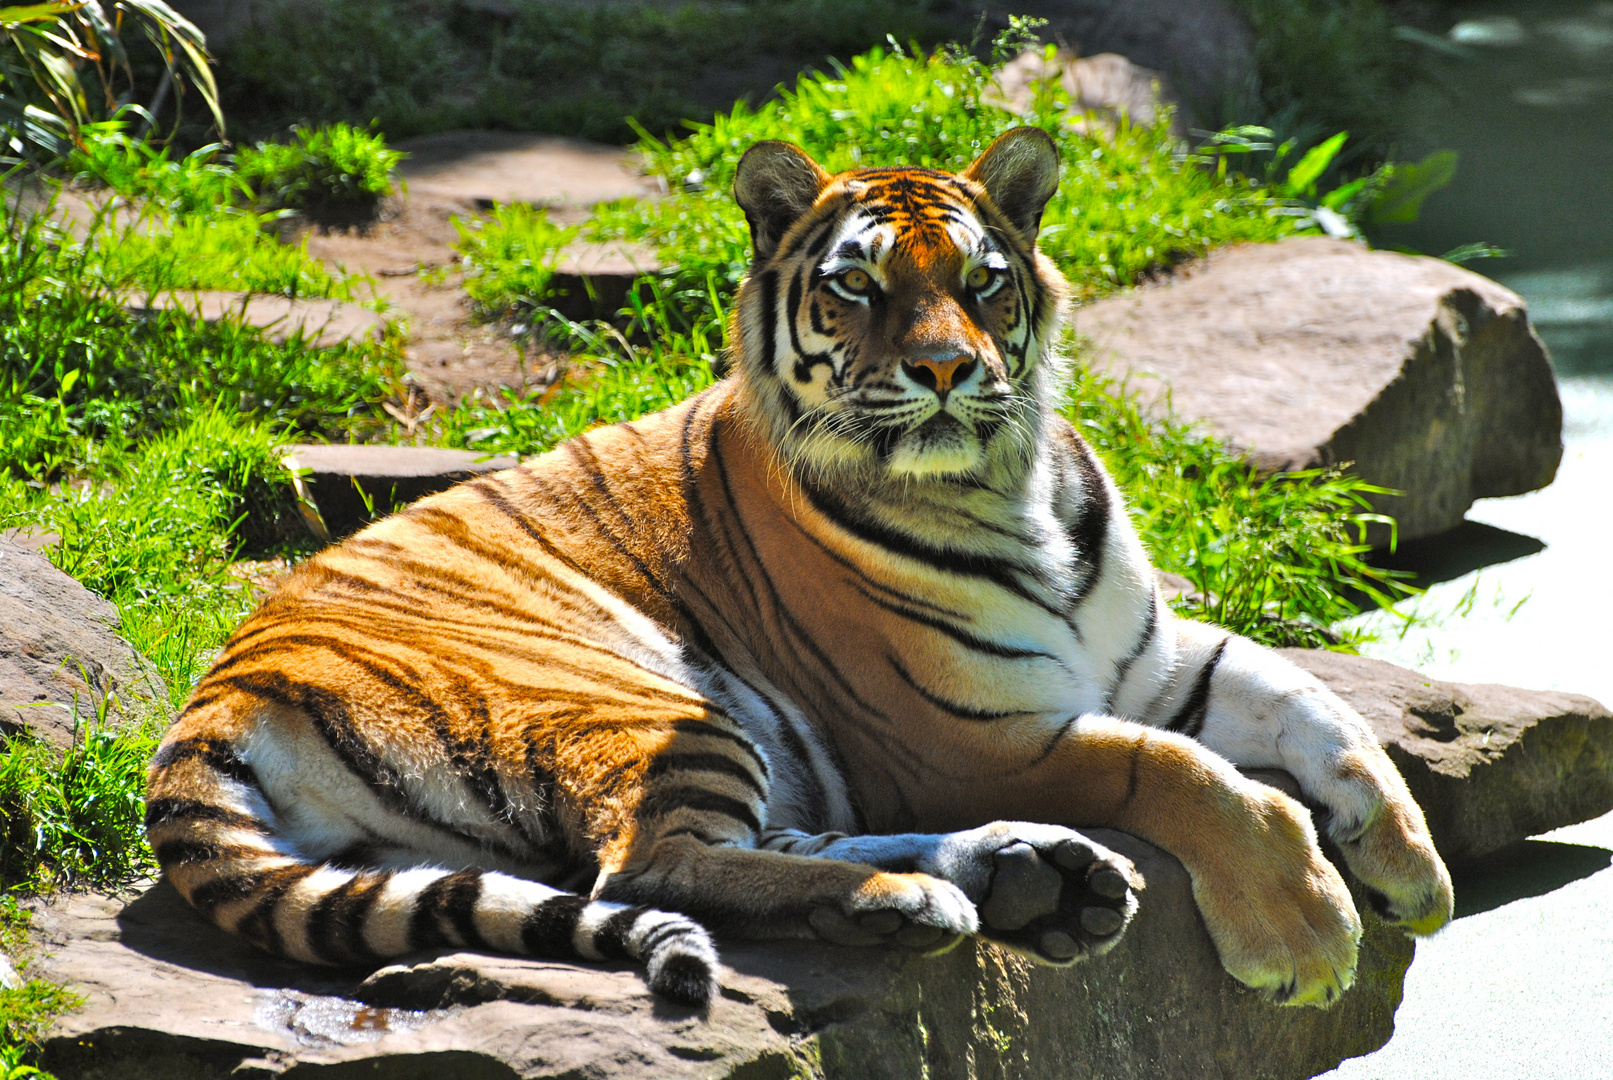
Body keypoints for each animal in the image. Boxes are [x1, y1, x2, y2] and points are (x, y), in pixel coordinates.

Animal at [148, 128, 1451, 1018]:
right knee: (653, 867)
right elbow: (1180, 773)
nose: (945, 370)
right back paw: (939, 897)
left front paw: (1409, 873)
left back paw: (1030, 876)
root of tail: (210, 708)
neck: (1010, 482)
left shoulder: (1152, 656)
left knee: (733, 848)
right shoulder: (970, 737)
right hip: (637, 700)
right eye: (857, 286)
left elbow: (1317, 711)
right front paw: (1303, 934)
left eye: (982, 283)